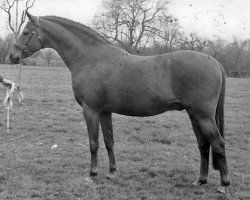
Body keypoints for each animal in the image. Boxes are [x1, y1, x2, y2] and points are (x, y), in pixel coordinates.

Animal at [8, 11, 230, 193]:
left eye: (26, 32)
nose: (11, 56)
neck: (91, 58)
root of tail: (216, 63)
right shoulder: (105, 112)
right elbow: (109, 141)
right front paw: (112, 172)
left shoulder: (91, 110)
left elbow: (94, 143)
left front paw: (92, 174)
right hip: (194, 115)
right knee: (203, 144)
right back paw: (200, 180)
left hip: (203, 116)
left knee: (217, 143)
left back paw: (223, 184)